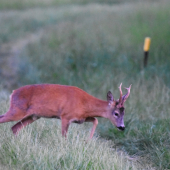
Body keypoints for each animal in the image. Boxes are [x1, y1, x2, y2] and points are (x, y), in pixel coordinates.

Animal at [0, 82, 131, 139]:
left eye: (124, 113)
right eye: (116, 113)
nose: (122, 127)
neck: (85, 103)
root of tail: (13, 93)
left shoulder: (81, 118)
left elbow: (95, 120)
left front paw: (88, 141)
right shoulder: (65, 116)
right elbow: (64, 137)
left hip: (33, 116)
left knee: (14, 128)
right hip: (17, 110)